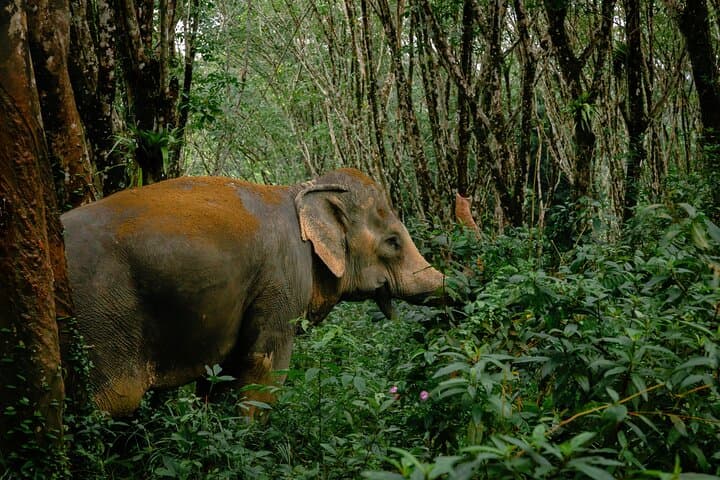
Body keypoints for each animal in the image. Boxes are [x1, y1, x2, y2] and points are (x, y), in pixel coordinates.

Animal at [61, 168, 446, 416]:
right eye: (393, 242)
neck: (299, 191)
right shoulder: (282, 281)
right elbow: (264, 368)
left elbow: (221, 375)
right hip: (102, 313)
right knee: (112, 401)